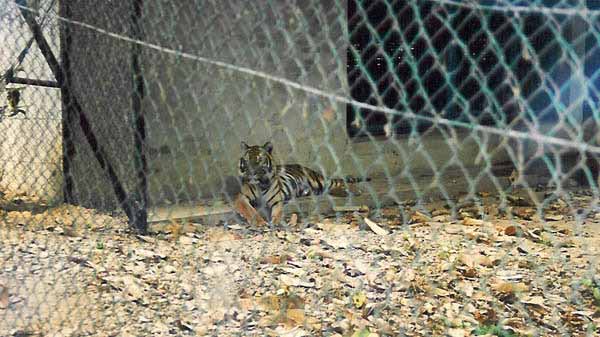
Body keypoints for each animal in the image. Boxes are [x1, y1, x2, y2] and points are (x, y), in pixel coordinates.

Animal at [233, 140, 366, 224]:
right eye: (246, 160)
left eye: (259, 160)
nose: (250, 173)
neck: (260, 184)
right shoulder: (241, 198)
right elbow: (250, 210)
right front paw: (259, 222)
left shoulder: (277, 201)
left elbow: (278, 212)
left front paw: (276, 222)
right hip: (314, 189)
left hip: (317, 181)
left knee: (336, 183)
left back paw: (354, 191)